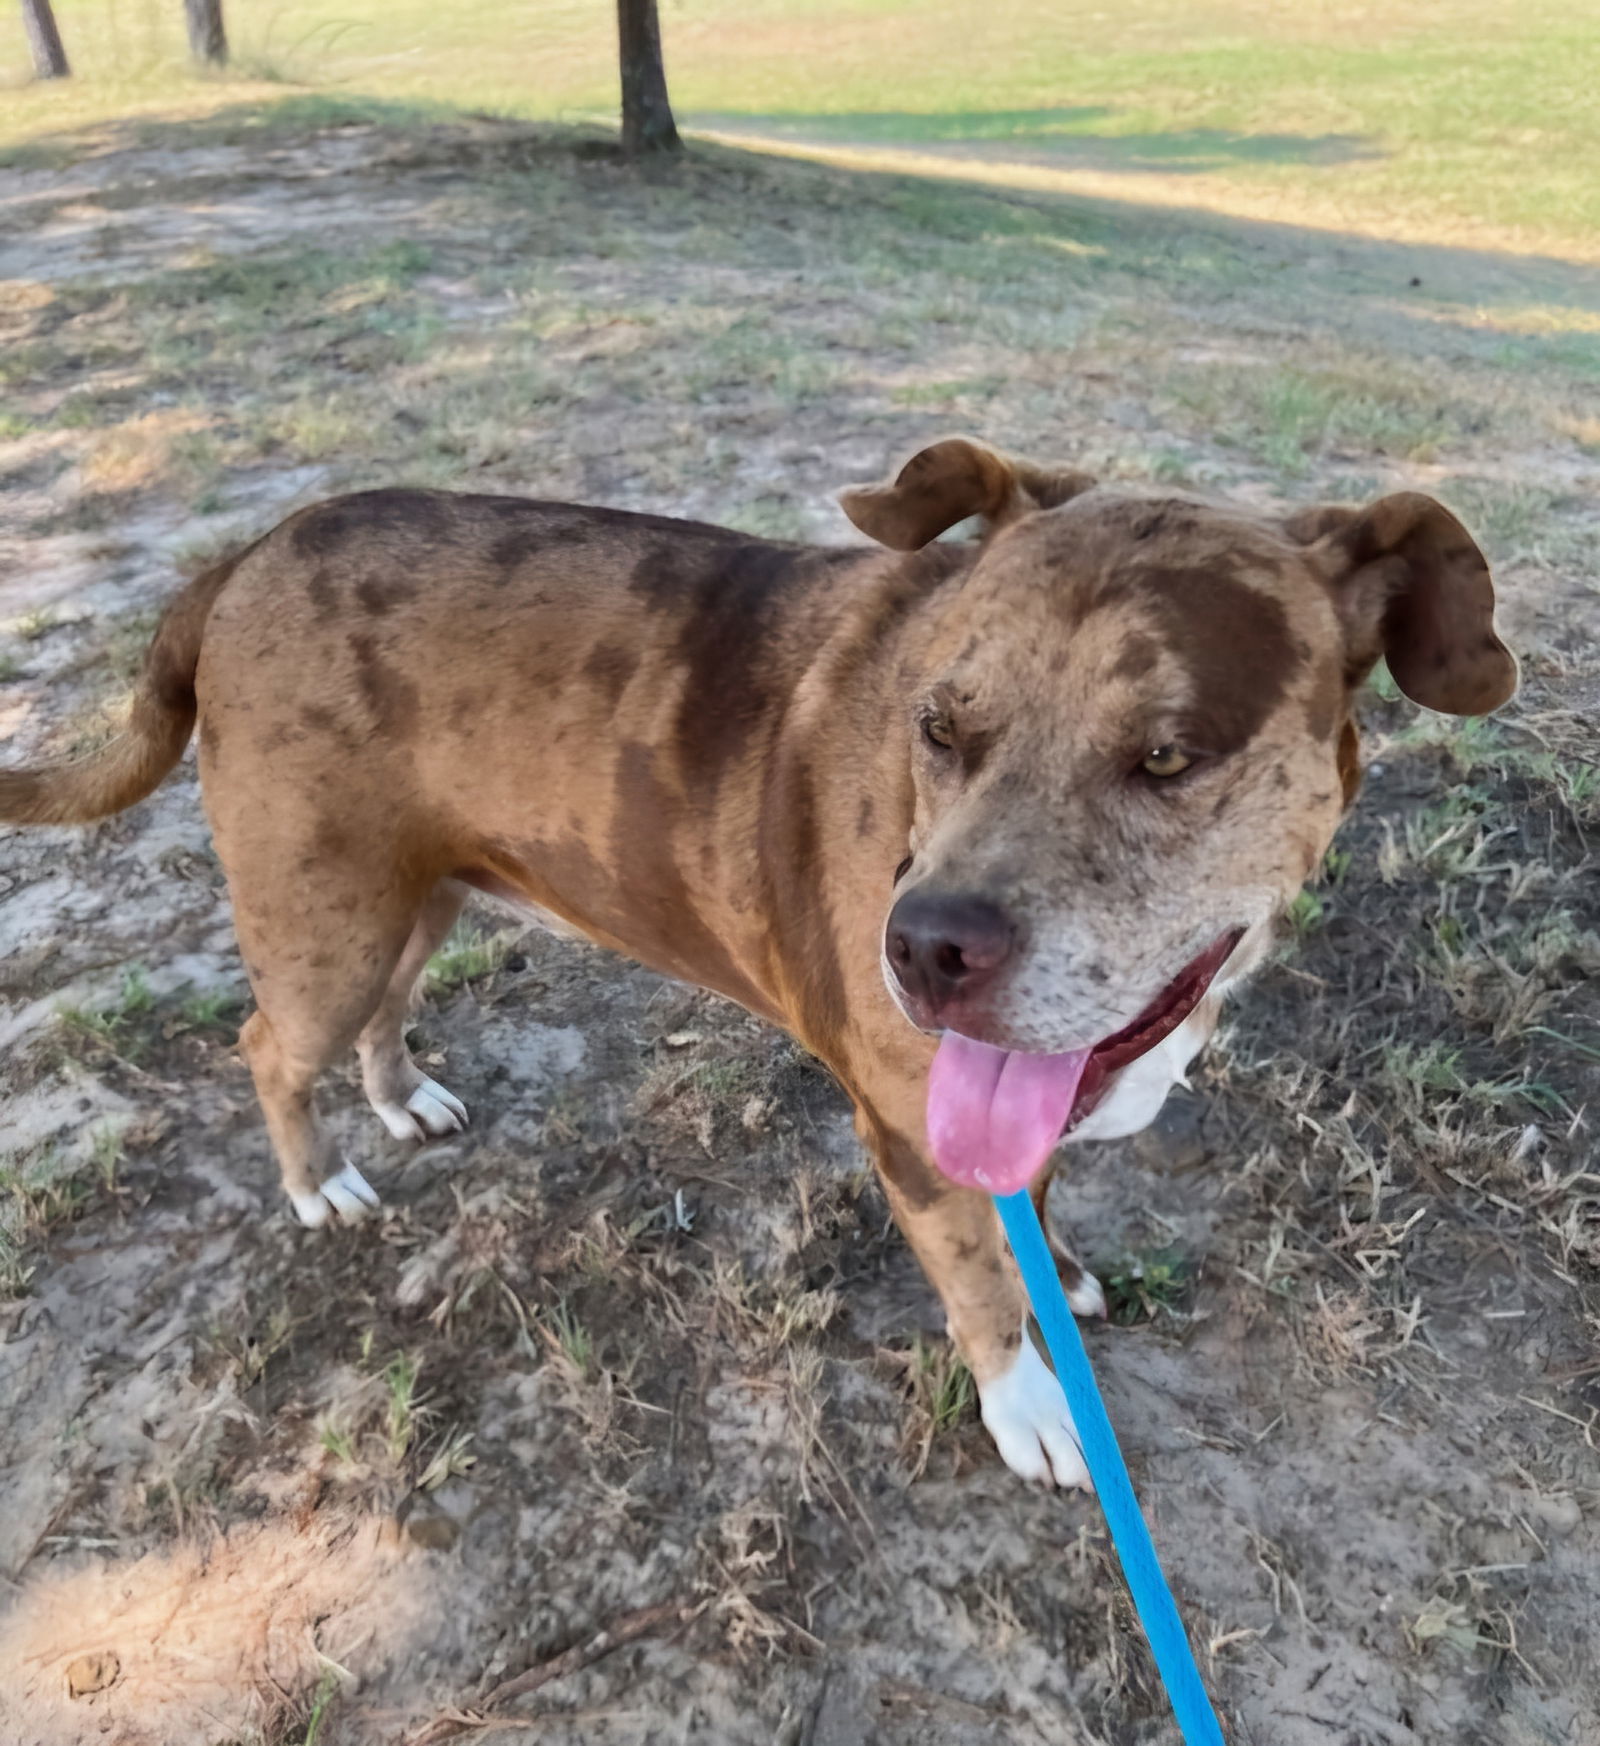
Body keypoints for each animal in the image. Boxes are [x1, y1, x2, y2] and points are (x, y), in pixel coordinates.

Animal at [0, 439, 1509, 1487]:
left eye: (1169, 757)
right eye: (938, 727)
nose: (921, 948)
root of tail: (246, 554)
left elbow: (1030, 1203)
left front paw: (1062, 1273)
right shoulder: (913, 1132)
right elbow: (978, 1280)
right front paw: (1029, 1401)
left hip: (416, 896)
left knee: (386, 1011)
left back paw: (397, 1097)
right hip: (324, 920)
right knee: (268, 1044)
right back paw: (318, 1183)